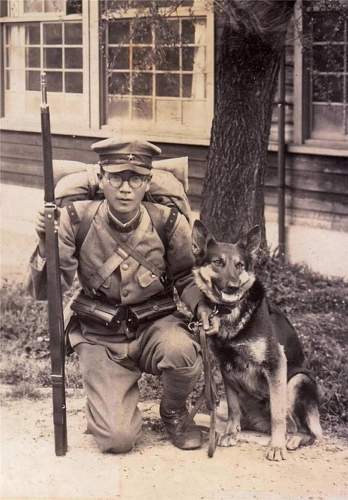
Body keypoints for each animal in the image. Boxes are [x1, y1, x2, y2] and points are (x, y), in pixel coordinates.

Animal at [192, 221, 322, 462]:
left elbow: (277, 415)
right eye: (217, 262)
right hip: (225, 403)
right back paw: (236, 429)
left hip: (298, 380)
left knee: (306, 430)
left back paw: (292, 439)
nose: (233, 286)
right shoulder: (226, 368)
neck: (230, 313)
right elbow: (233, 406)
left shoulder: (276, 363)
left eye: (240, 265)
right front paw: (230, 433)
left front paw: (276, 446)